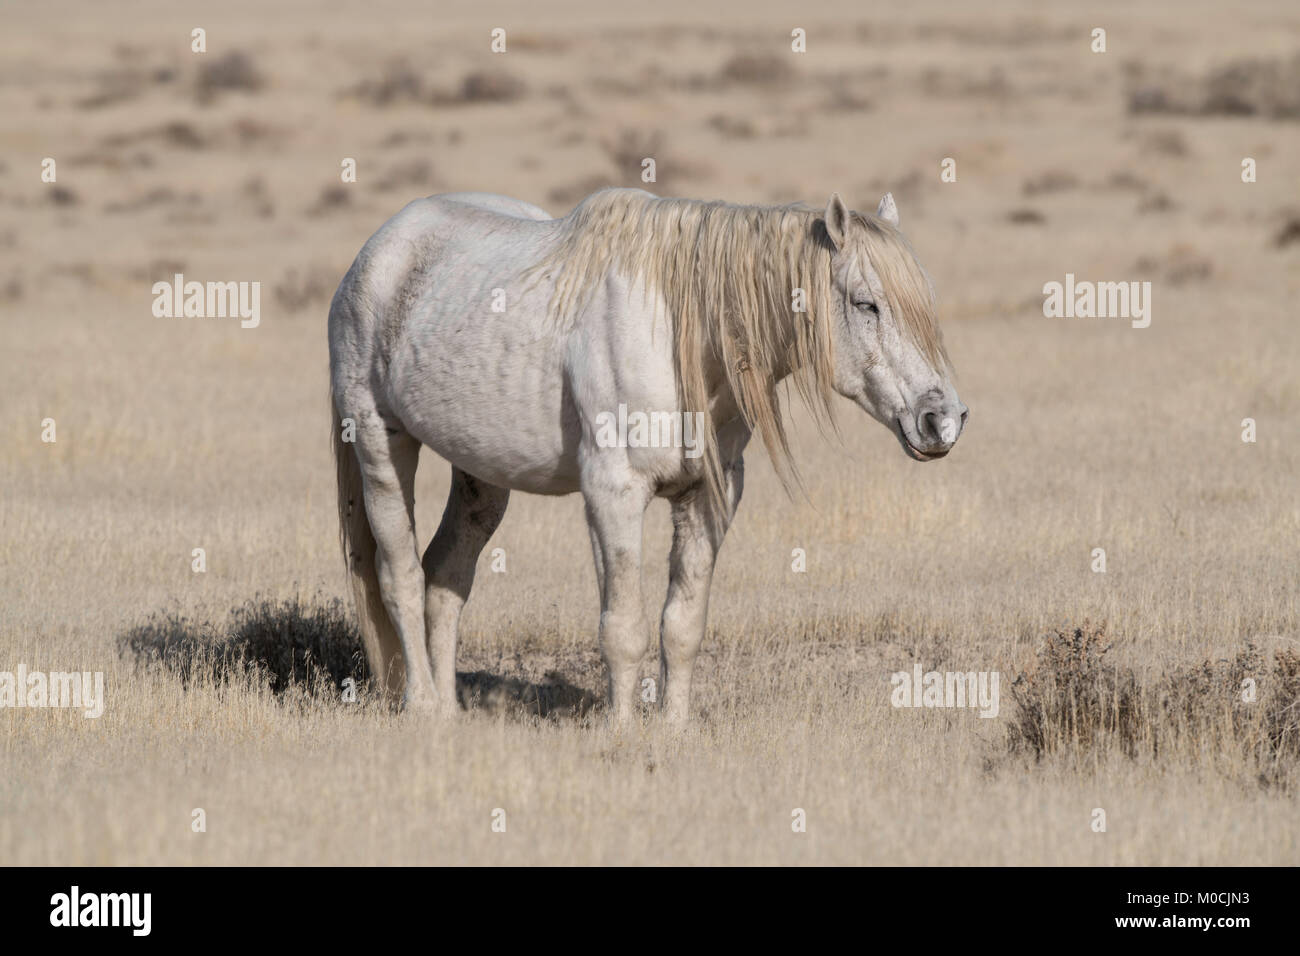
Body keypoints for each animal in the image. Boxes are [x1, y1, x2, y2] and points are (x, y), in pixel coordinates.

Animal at [328, 188, 967, 725]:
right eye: (866, 304)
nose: (943, 420)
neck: (684, 336)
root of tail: (376, 251)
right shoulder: (614, 494)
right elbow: (624, 626)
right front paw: (622, 732)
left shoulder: (709, 494)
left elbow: (682, 624)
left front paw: (674, 729)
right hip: (381, 446)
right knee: (402, 576)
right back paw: (420, 707)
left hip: (481, 478)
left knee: (445, 578)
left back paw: (448, 710)